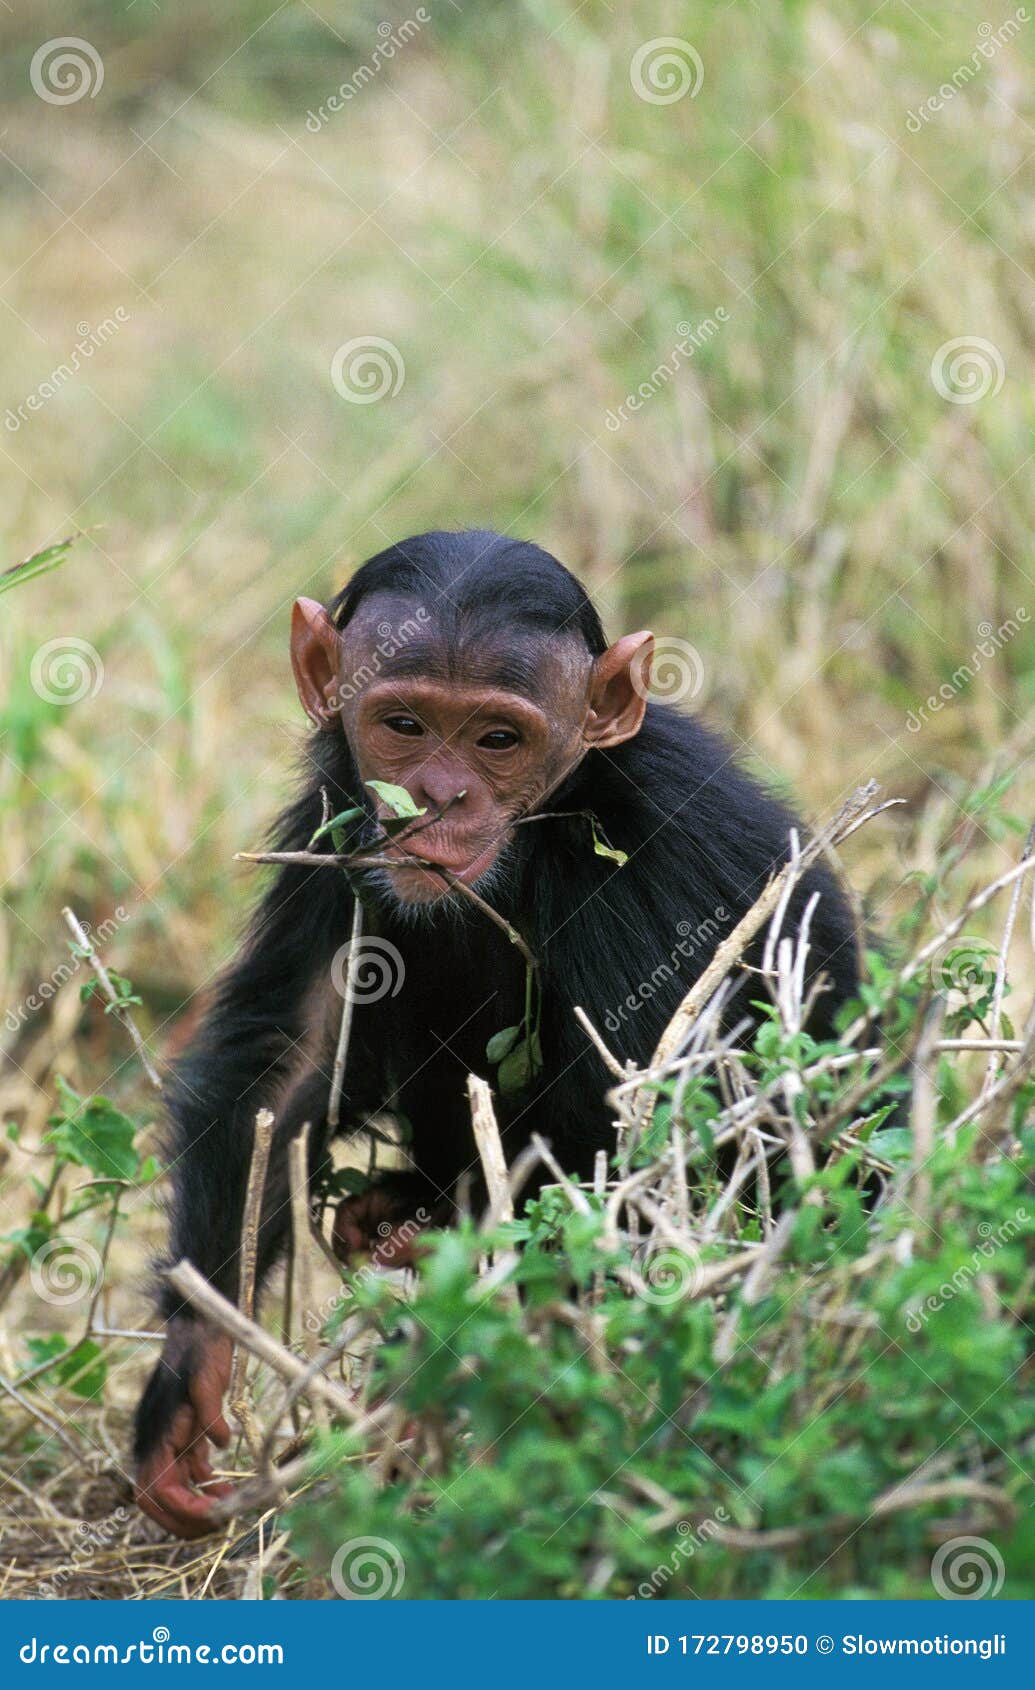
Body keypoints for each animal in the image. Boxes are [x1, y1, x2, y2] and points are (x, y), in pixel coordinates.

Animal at [133, 527, 862, 1534]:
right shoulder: (332, 821)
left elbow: (628, 1157)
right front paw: (191, 1363)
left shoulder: (654, 870)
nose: (439, 796)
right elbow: (290, 1055)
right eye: (404, 725)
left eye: (498, 739)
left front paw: (426, 1401)